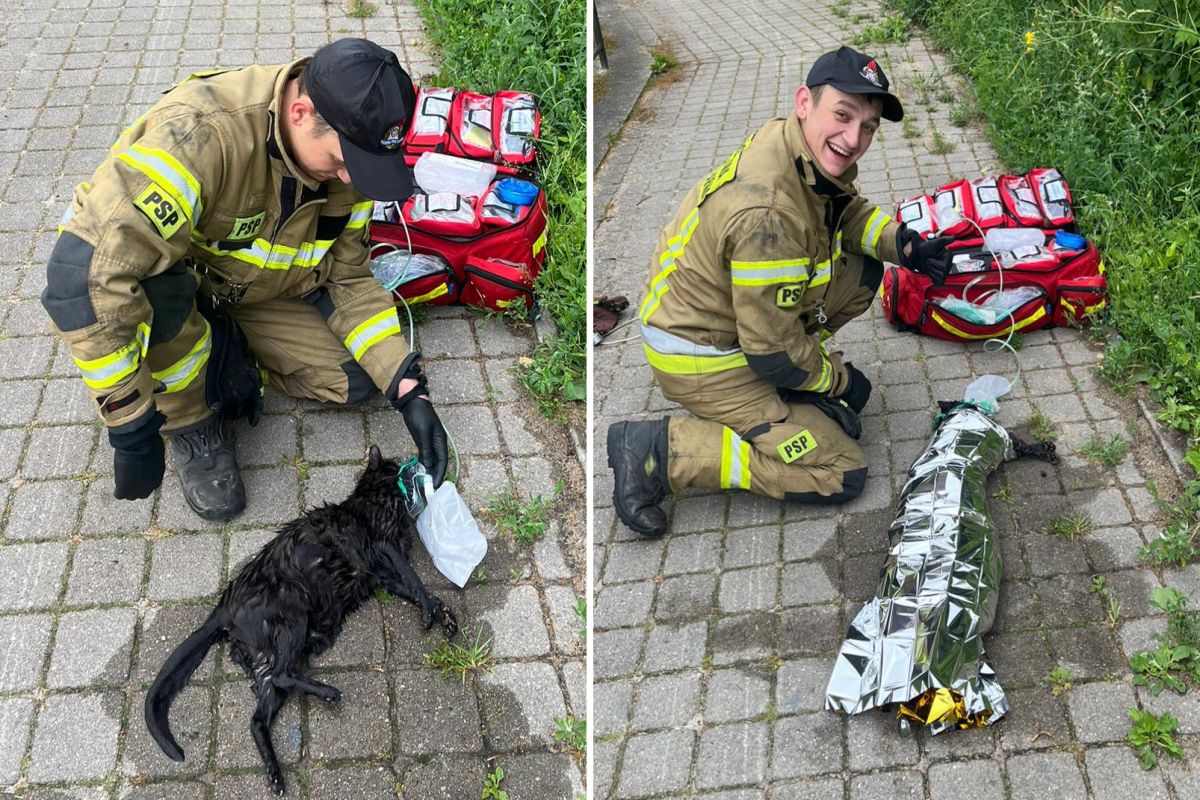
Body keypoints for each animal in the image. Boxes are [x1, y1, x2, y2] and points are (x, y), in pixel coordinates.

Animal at [145, 443, 453, 796]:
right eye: (393, 467)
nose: (413, 465)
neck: (371, 497)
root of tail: (225, 604)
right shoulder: (385, 547)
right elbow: (416, 582)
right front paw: (431, 613)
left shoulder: (380, 576)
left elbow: (417, 591)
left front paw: (444, 615)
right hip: (294, 616)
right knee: (281, 677)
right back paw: (327, 692)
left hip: (266, 659)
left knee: (258, 718)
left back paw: (276, 774)